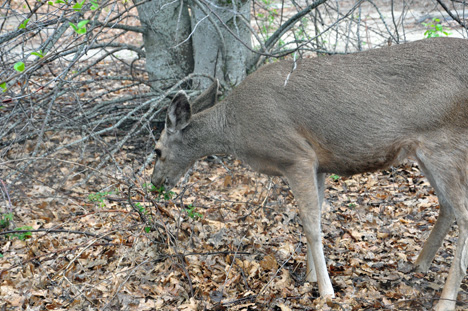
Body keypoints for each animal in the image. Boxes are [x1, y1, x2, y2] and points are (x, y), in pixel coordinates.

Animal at [152, 37, 468, 310]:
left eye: (157, 151)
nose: (156, 182)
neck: (235, 129)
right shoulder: (318, 165)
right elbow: (314, 217)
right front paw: (310, 277)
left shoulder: (295, 155)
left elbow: (311, 224)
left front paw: (326, 292)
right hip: (425, 151)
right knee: (447, 206)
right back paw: (419, 264)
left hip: (445, 143)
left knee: (463, 213)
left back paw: (445, 300)